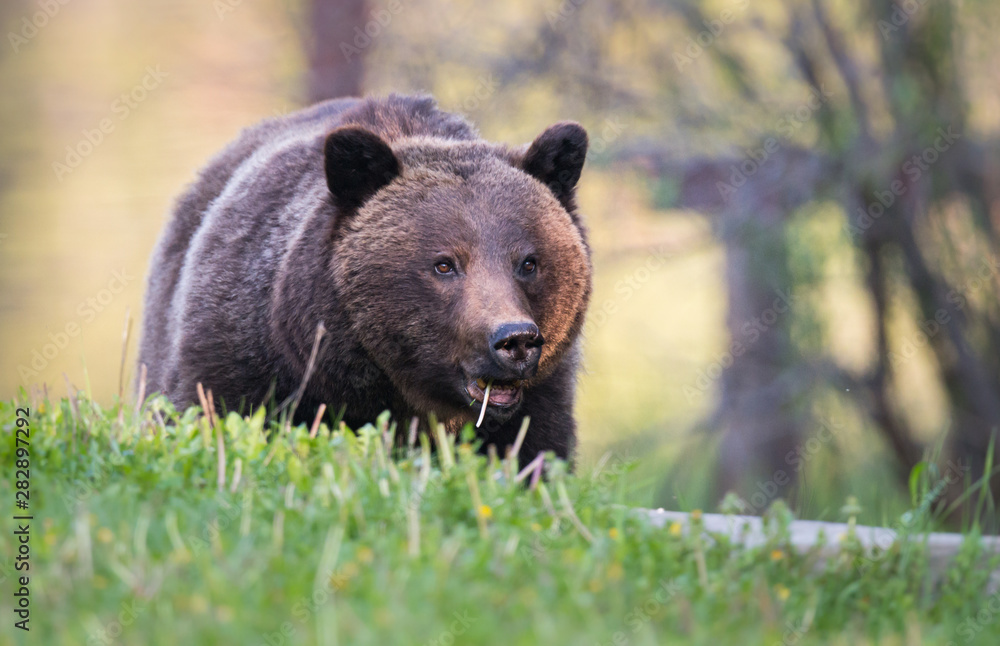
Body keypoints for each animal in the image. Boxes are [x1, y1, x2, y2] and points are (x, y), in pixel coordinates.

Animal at [138, 94, 591, 464]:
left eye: (528, 262)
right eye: (444, 264)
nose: (515, 340)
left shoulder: (541, 396)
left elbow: (532, 452)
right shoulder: (242, 351)